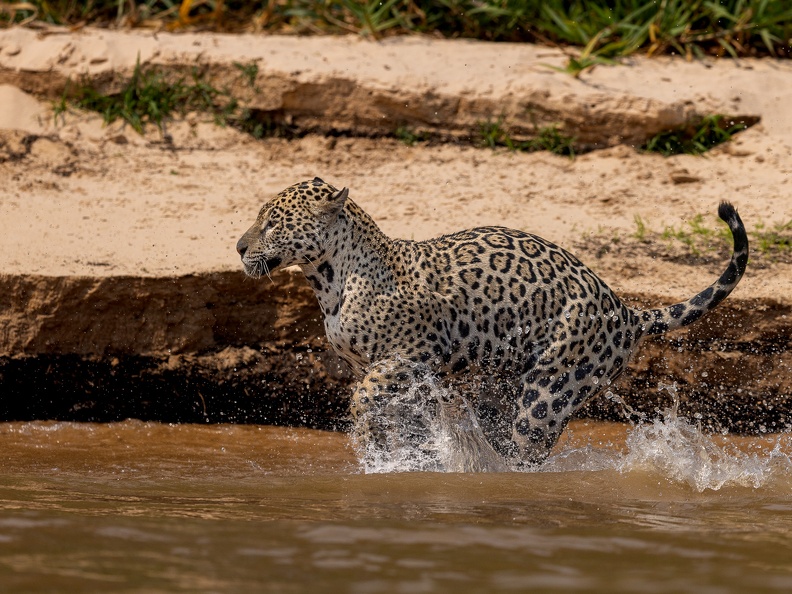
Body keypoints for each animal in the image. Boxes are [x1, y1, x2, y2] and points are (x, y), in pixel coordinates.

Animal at [236, 178, 748, 467]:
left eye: (272, 222)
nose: (239, 247)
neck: (328, 278)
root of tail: (625, 309)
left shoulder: (413, 355)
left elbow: (364, 396)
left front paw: (369, 436)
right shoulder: (390, 370)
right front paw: (397, 453)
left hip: (548, 394)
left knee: (526, 453)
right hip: (501, 387)